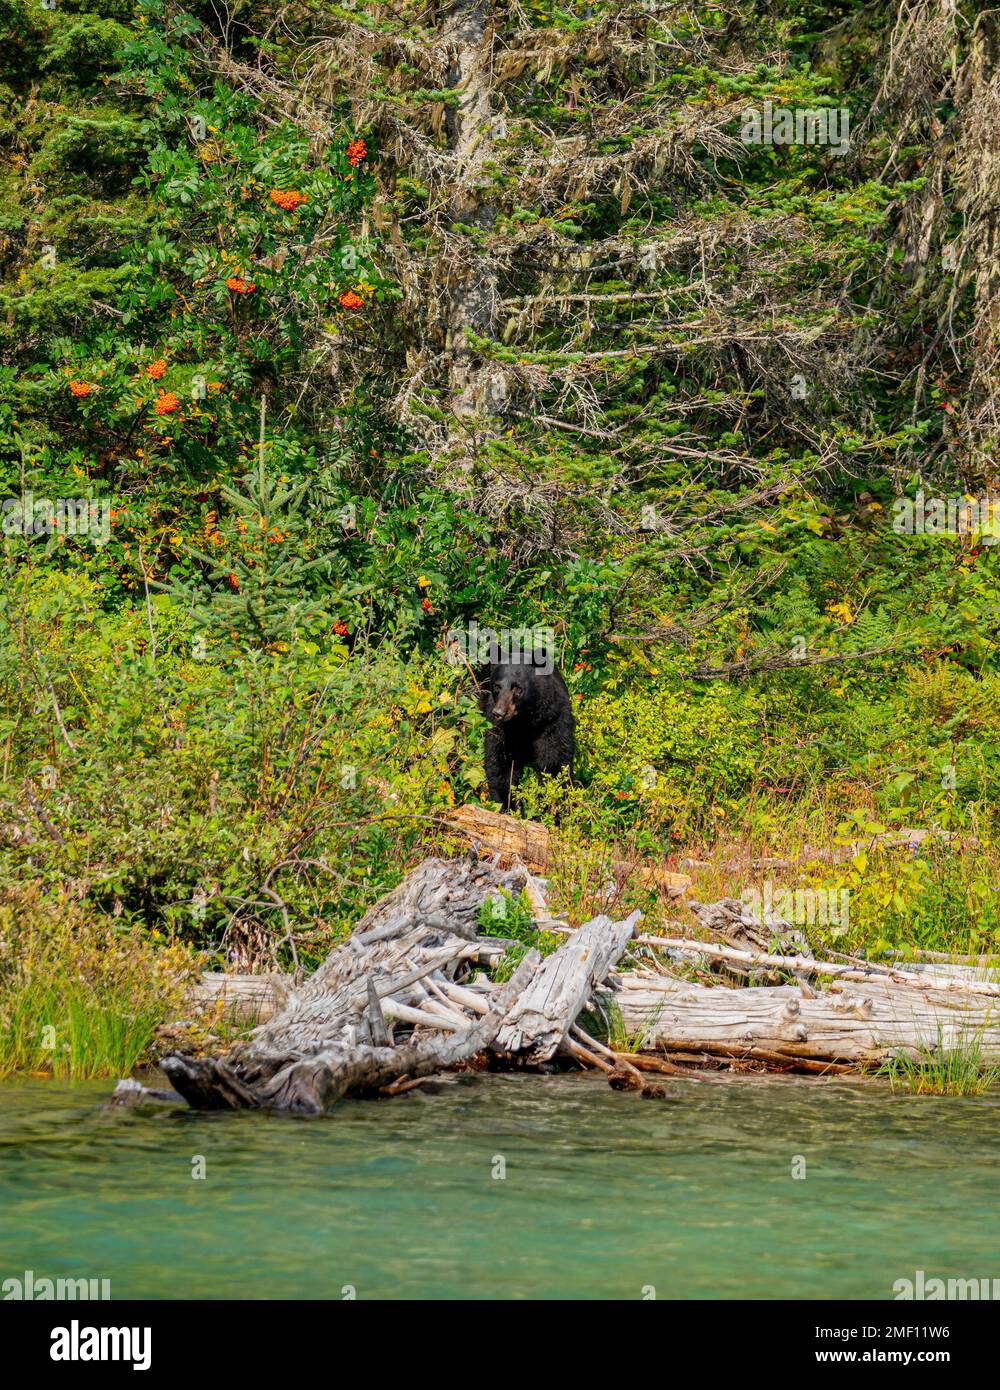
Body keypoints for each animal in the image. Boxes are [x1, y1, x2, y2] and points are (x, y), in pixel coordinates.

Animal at [478, 656, 575, 811]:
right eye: (497, 687)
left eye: (518, 688)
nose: (499, 713)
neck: (524, 721)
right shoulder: (501, 729)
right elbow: (501, 765)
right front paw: (509, 806)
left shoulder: (552, 720)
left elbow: (554, 761)